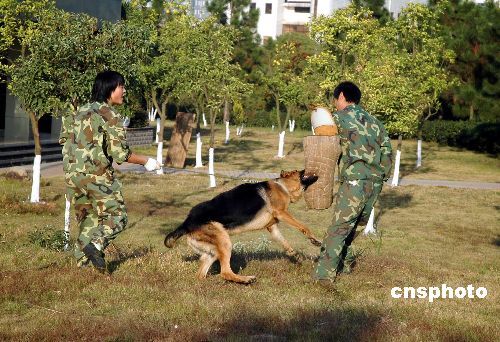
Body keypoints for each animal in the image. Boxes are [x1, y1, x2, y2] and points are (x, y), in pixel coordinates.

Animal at [164, 170, 320, 284]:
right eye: (299, 171)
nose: (310, 169)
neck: (283, 186)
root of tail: (187, 223)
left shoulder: (273, 227)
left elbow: (282, 239)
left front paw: (291, 252)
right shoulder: (282, 213)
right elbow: (303, 226)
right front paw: (314, 239)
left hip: (212, 252)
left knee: (203, 275)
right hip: (224, 241)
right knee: (225, 272)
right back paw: (246, 279)